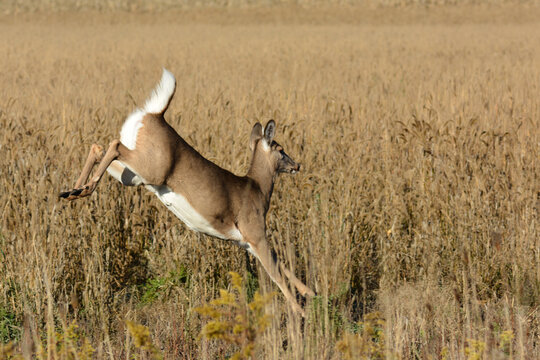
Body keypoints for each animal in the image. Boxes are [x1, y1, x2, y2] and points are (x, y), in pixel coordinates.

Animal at [59, 69, 314, 316]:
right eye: (281, 149)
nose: (297, 165)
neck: (258, 189)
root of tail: (156, 115)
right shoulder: (254, 232)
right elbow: (276, 272)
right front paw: (301, 310)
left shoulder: (245, 242)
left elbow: (280, 263)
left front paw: (309, 293)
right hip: (152, 169)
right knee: (113, 144)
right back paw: (82, 189)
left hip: (135, 176)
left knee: (99, 147)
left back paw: (72, 191)